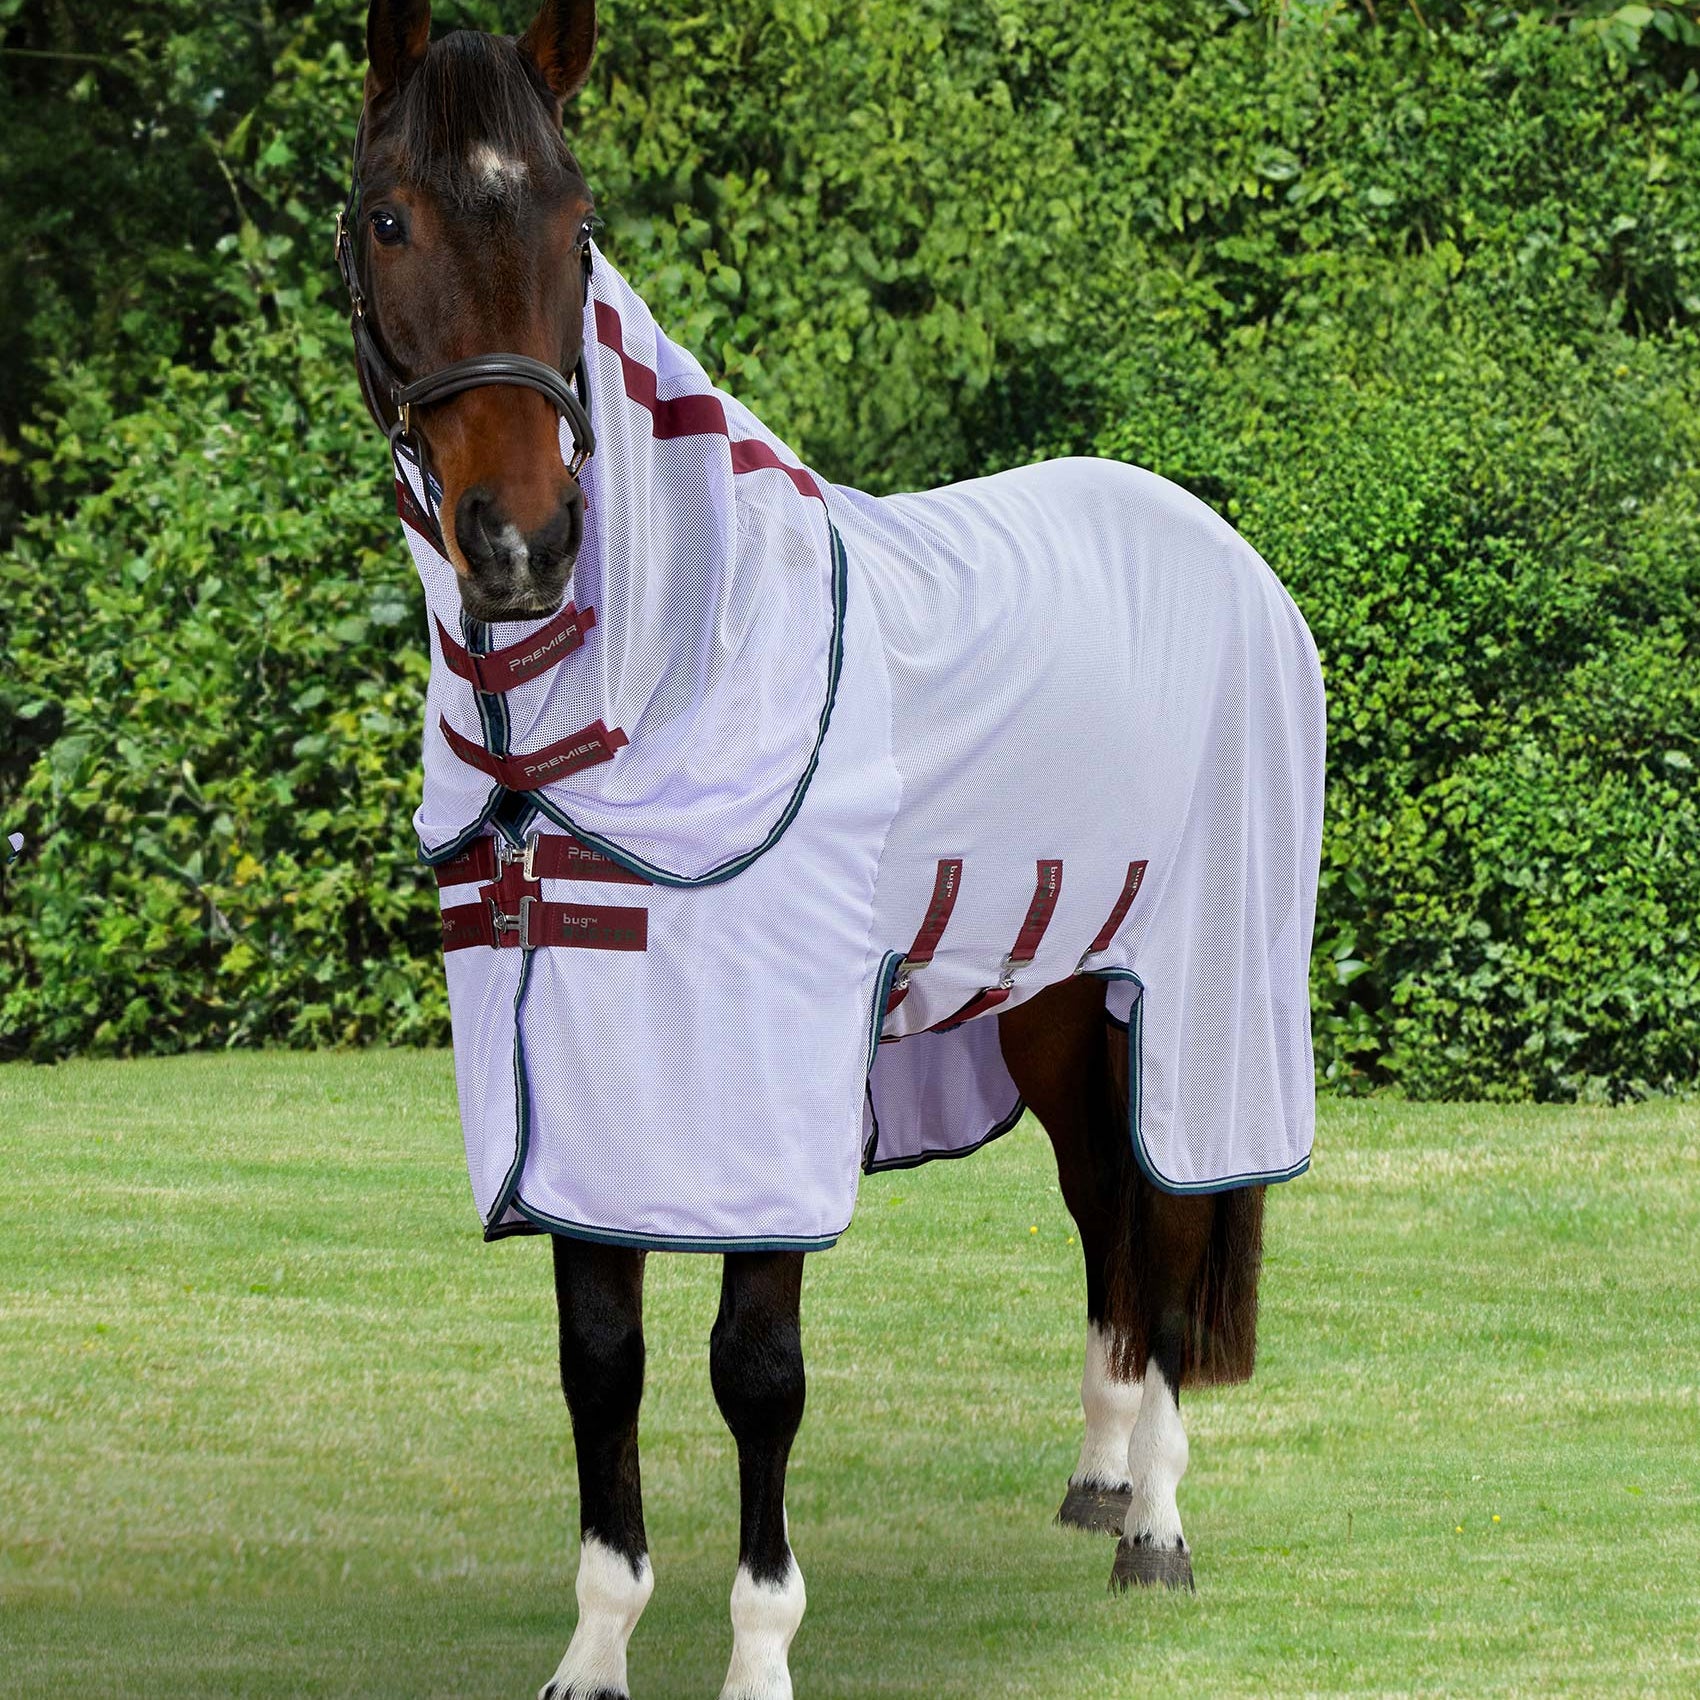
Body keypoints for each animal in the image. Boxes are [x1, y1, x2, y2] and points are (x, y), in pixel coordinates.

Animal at [340, 4, 1325, 1696]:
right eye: (393, 216)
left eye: (575, 225)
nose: (525, 543)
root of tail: (1219, 543)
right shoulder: (577, 1081)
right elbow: (599, 1362)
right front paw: (596, 1648)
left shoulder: (759, 1088)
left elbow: (756, 1371)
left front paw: (759, 1654)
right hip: (1060, 1006)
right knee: (1110, 1228)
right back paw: (1098, 1479)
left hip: (1198, 1003)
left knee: (1175, 1219)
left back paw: (1155, 1528)